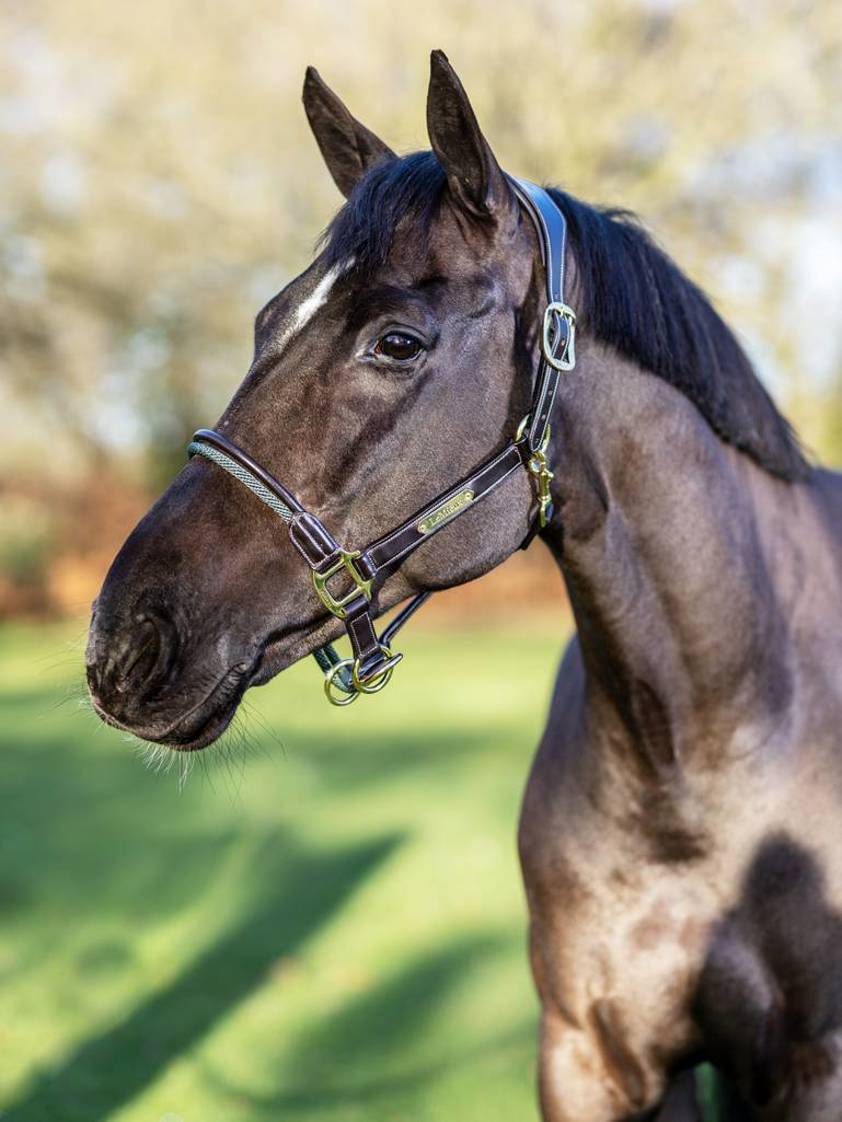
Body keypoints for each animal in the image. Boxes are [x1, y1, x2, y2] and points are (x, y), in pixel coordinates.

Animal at [84, 50, 842, 1122]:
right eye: (269, 319)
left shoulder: (816, 1064)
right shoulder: (589, 1055)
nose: (125, 642)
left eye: (397, 340)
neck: (713, 745)